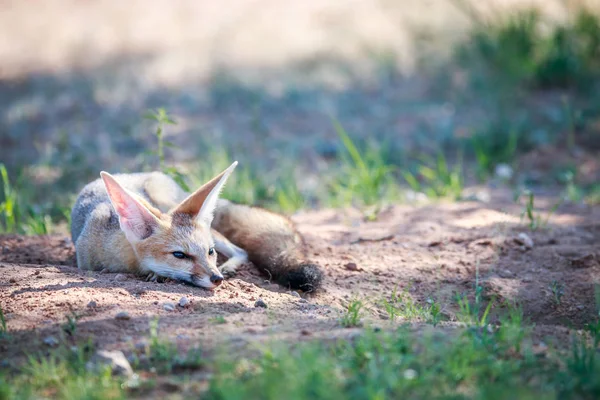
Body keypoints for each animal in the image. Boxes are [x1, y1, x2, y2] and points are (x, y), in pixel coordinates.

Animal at [69, 162, 324, 290]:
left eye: (209, 252)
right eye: (179, 255)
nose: (217, 279)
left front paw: (155, 274)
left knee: (242, 250)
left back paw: (229, 266)